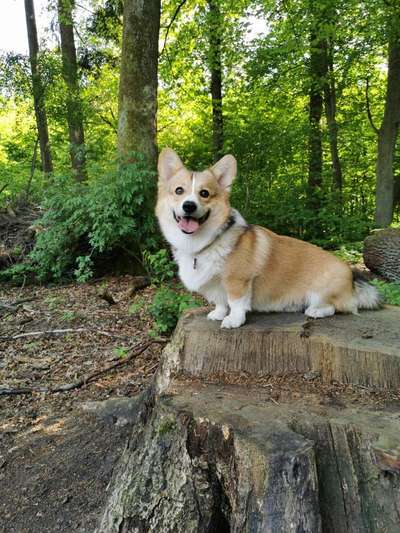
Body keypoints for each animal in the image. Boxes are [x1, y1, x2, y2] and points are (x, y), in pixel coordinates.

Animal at [155, 147, 380, 328]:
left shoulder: (238, 280)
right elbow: (220, 301)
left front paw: (233, 321)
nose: (189, 206)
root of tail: (352, 280)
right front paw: (218, 314)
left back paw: (315, 310)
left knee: (337, 307)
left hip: (323, 290)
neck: (202, 243)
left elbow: (235, 302)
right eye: (179, 191)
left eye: (204, 193)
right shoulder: (216, 286)